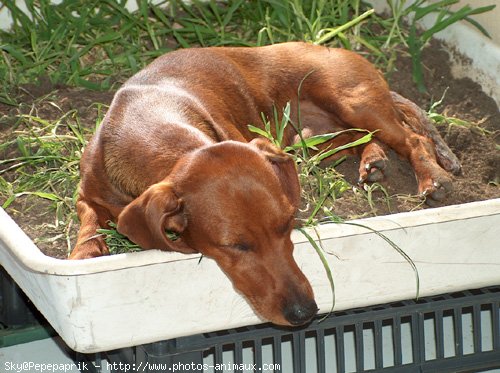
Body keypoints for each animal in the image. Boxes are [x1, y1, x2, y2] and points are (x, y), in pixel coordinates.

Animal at [69, 41, 460, 326]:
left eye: (287, 225)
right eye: (236, 246)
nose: (306, 313)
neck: (147, 124)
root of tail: (329, 46)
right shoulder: (85, 192)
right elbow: (87, 217)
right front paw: (84, 253)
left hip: (352, 101)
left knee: (412, 139)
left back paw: (432, 176)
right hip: (306, 138)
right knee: (358, 139)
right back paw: (373, 159)